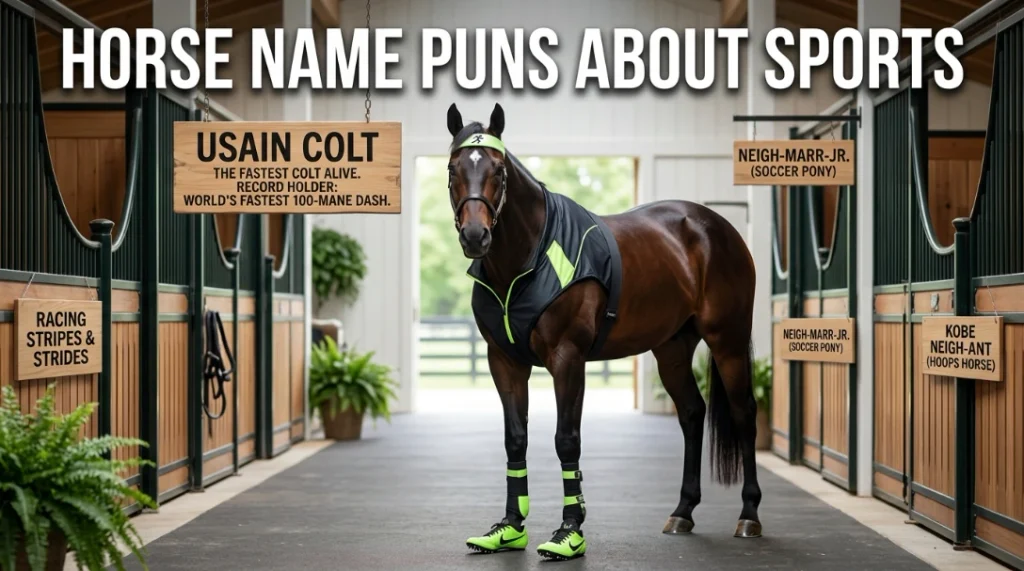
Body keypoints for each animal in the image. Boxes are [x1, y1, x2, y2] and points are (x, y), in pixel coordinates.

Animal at [448, 103, 761, 562]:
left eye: (499, 170)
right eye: (453, 169)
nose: (475, 235)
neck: (530, 256)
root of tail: (716, 227)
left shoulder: (568, 360)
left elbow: (567, 441)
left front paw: (568, 534)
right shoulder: (504, 362)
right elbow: (515, 439)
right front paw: (508, 529)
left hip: (729, 342)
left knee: (744, 414)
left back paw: (749, 516)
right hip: (672, 349)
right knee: (691, 414)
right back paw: (682, 512)